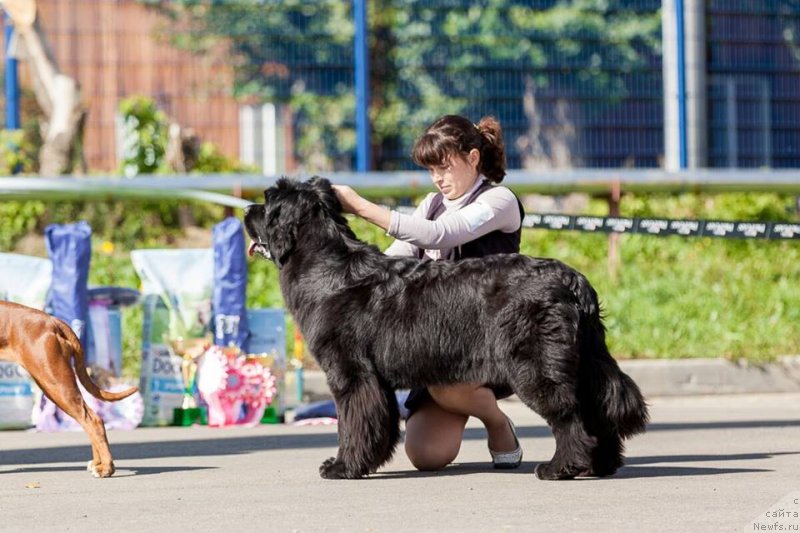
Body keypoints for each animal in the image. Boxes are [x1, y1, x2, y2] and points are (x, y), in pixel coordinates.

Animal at [0, 300, 137, 478]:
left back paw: (106, 468)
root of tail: (53, 321)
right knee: (90, 420)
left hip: (56, 384)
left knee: (93, 421)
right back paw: (98, 463)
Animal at [245, 177, 648, 480]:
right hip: (586, 361)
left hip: (537, 367)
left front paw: (343, 466)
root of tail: (573, 280)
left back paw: (561, 467)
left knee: (569, 416)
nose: (247, 210)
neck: (326, 265)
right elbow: (378, 424)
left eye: (267, 202)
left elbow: (352, 423)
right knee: (599, 407)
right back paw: (601, 465)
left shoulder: (351, 374)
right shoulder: (374, 381)